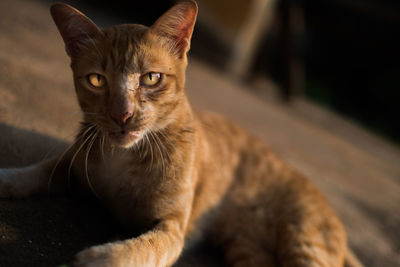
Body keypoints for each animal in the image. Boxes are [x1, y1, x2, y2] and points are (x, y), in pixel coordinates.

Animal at [0, 1, 362, 267]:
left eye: (151, 78)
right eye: (96, 80)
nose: (122, 115)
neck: (123, 160)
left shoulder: (173, 227)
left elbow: (143, 249)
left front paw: (98, 257)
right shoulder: (73, 161)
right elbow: (39, 170)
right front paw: (8, 178)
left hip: (304, 243)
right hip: (247, 249)